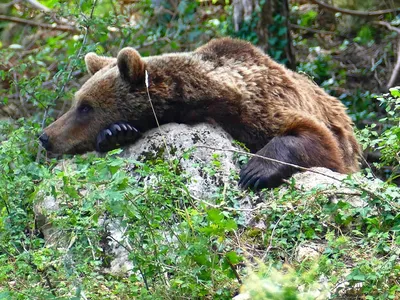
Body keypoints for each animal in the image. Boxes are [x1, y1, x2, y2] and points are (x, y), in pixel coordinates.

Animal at [39, 37, 360, 190]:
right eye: (77, 102)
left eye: (85, 107)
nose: (45, 136)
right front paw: (115, 133)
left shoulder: (259, 107)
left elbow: (316, 140)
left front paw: (254, 172)